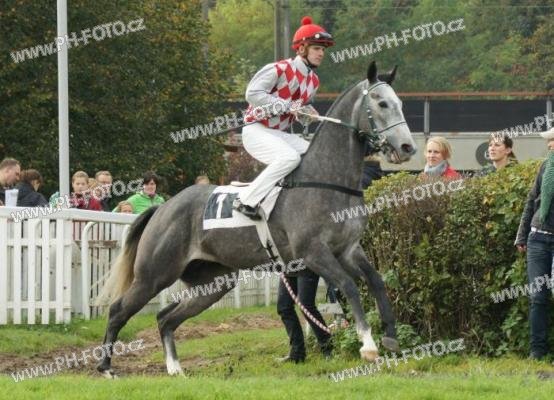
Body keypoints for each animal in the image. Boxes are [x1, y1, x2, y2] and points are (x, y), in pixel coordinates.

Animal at [96, 61, 417, 377]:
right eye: (382, 103)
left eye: (401, 103)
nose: (407, 148)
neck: (328, 181)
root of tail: (163, 208)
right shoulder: (314, 253)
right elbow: (349, 286)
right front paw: (368, 345)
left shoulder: (348, 250)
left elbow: (377, 281)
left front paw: (391, 337)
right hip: (155, 274)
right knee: (119, 309)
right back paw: (106, 366)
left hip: (214, 281)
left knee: (166, 317)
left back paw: (175, 368)